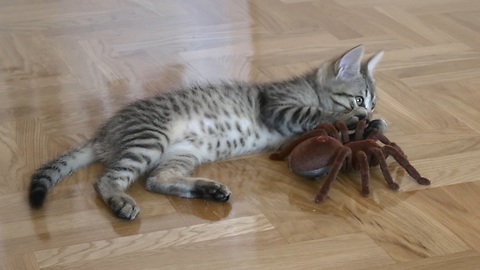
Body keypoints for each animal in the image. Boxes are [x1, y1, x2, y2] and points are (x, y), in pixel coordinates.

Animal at [29, 45, 382, 220]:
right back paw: (120, 202)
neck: (308, 88)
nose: (368, 112)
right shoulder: (280, 107)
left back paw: (209, 190)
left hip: (182, 154)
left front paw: (372, 127)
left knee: (158, 180)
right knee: (108, 179)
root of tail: (103, 134)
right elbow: (318, 114)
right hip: (149, 139)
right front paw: (351, 118)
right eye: (359, 99)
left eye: (373, 102)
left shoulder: (293, 133)